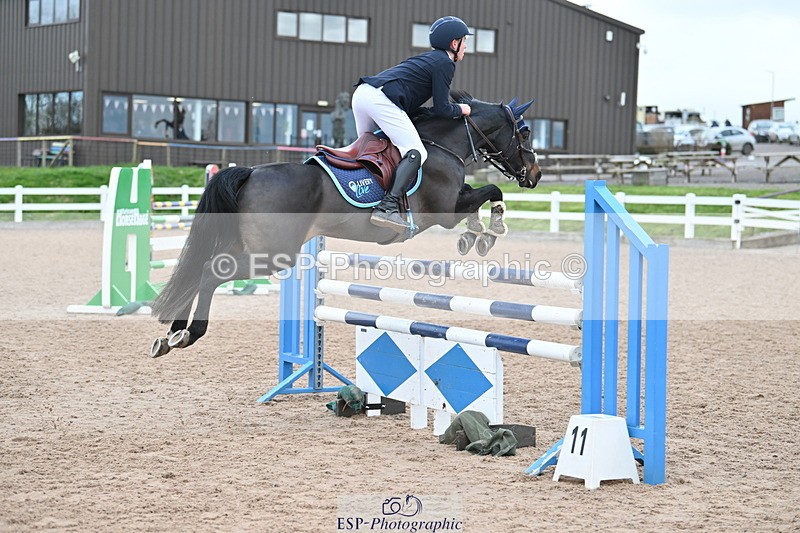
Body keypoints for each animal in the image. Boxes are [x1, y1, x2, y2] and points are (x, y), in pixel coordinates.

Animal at [149, 90, 543, 358]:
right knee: (211, 272)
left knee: (201, 266)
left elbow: (480, 194)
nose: (535, 175)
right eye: (524, 133)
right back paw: (189, 333)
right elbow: (491, 191)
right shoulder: (445, 211)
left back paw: (172, 332)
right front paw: (488, 232)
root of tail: (251, 173)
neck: (441, 144)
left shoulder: (456, 202)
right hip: (272, 255)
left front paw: (476, 234)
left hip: (246, 245)